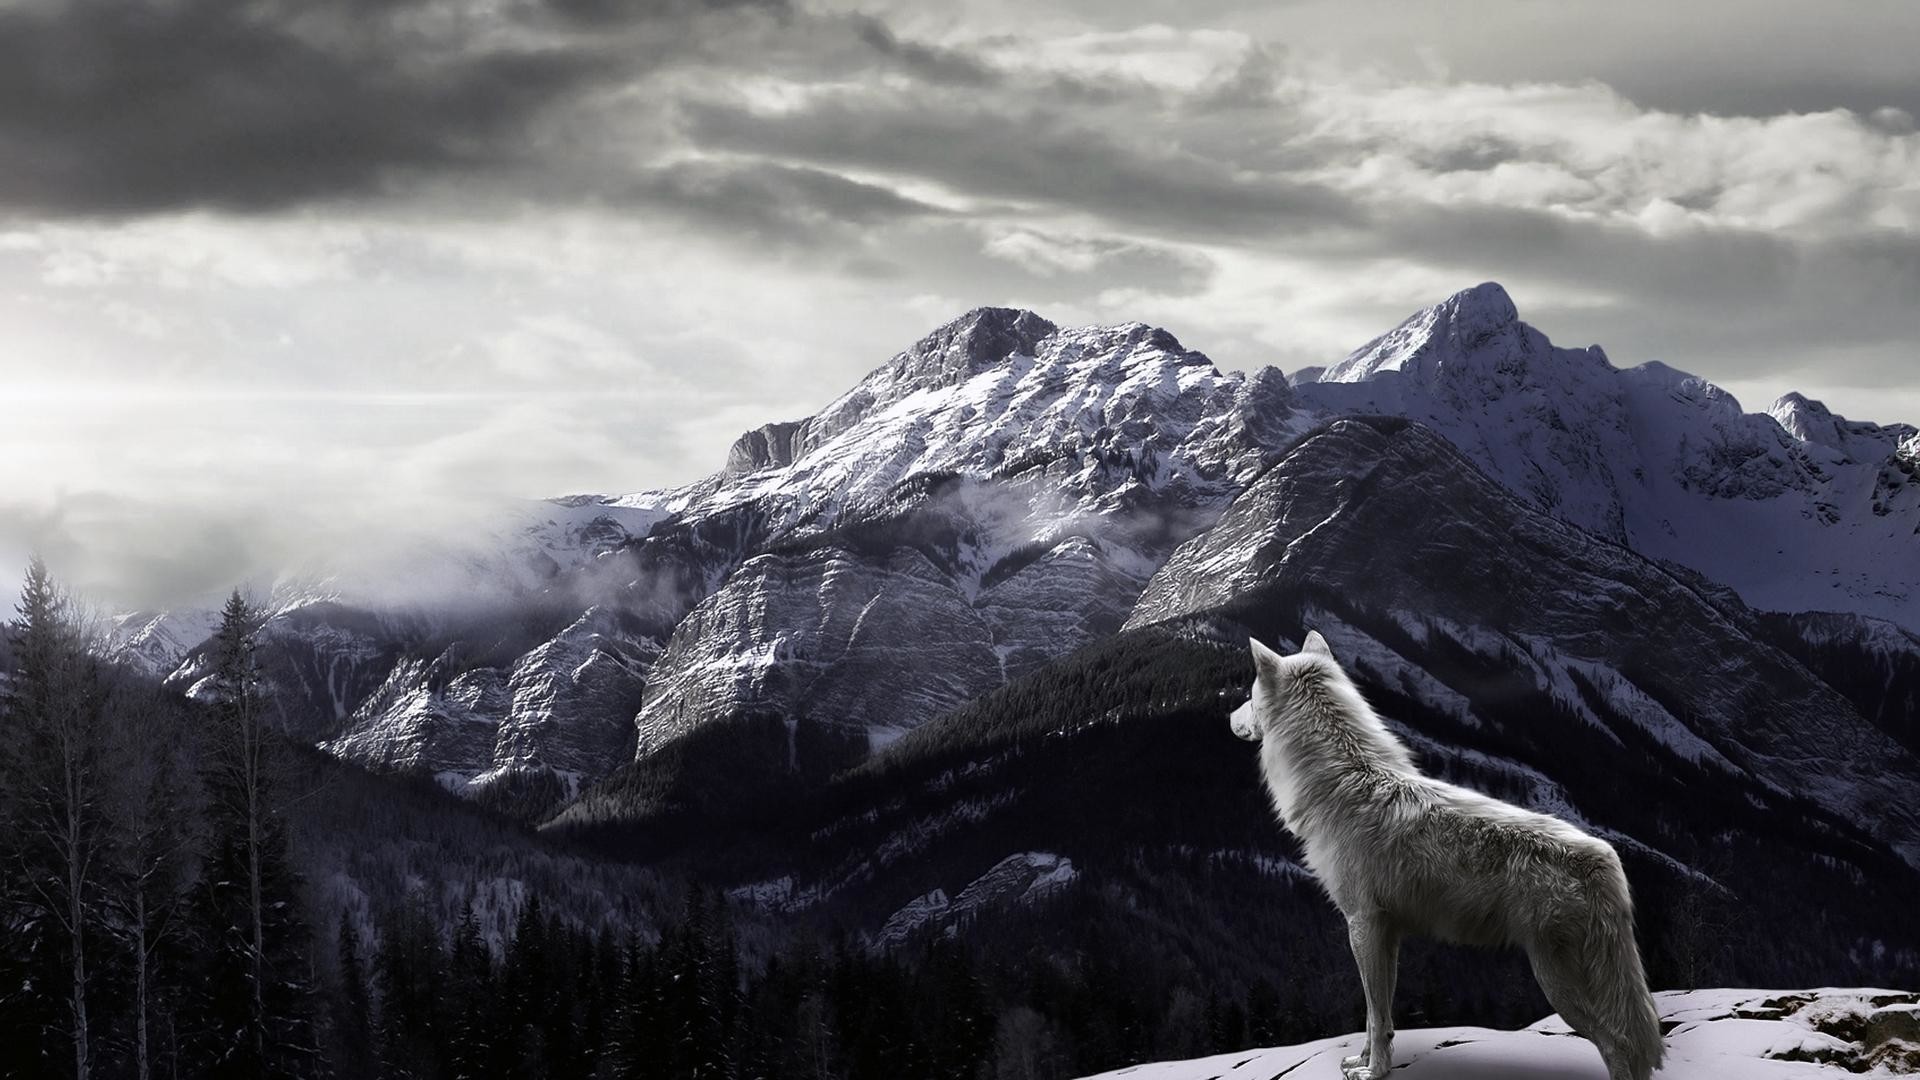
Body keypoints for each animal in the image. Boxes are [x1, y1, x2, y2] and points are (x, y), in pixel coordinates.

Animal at [1230, 632, 1664, 1080]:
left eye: (1248, 696)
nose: (1229, 716)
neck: (1343, 783)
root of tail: (1604, 858)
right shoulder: (1386, 933)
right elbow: (1377, 1015)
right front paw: (1363, 1060)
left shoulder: (1362, 925)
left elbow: (1375, 1014)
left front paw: (1374, 1071)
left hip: (1558, 984)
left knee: (1620, 1045)